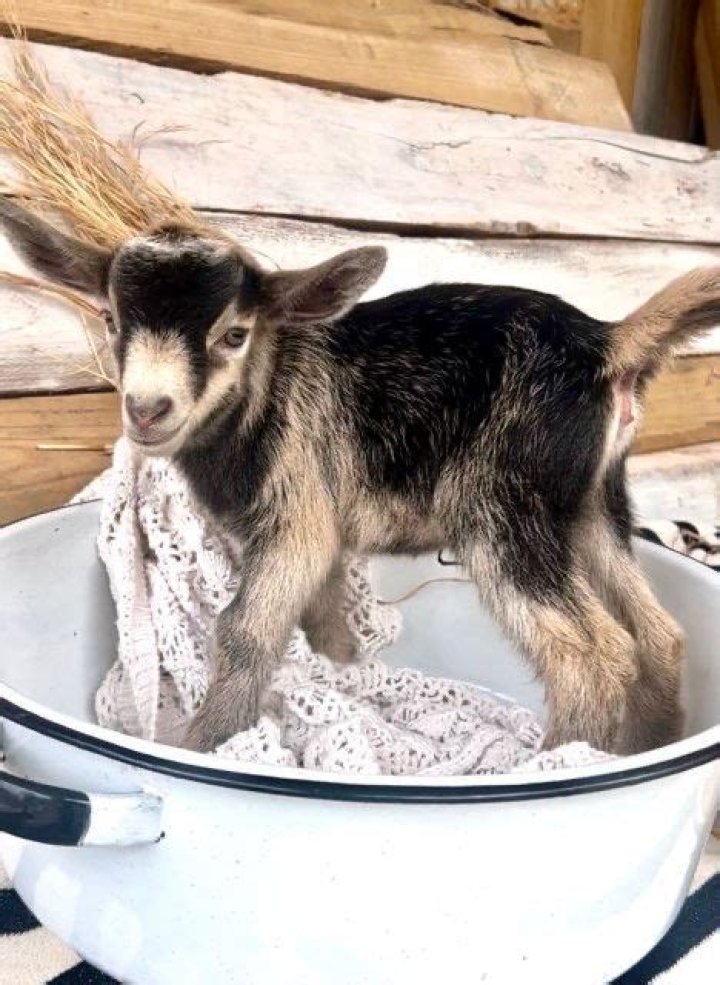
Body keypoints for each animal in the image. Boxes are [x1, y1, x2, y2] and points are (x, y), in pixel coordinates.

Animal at [3, 196, 719, 755]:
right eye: (110, 319)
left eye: (234, 334)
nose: (148, 410)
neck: (263, 391)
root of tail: (608, 344)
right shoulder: (321, 534)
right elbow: (324, 623)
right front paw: (345, 676)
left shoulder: (295, 517)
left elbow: (242, 630)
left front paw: (209, 743)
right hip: (590, 505)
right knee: (657, 632)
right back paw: (649, 740)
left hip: (504, 509)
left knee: (591, 654)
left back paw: (559, 761)